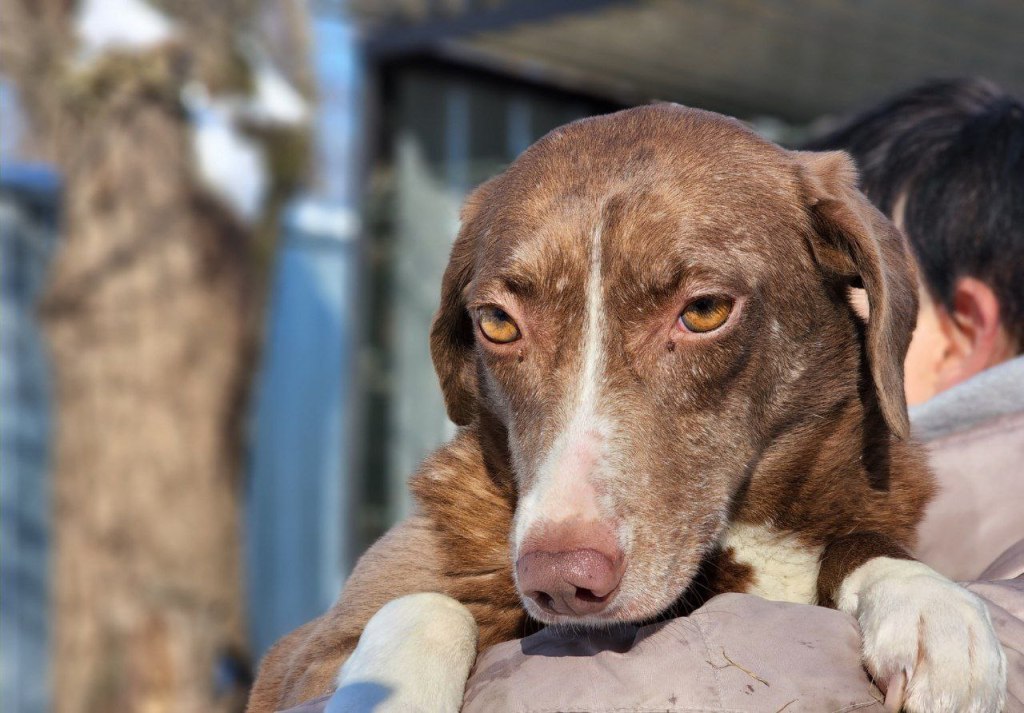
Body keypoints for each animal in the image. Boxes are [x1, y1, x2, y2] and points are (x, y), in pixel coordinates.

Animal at [248, 104, 1007, 713]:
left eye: (704, 311)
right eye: (497, 323)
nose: (559, 580)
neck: (746, 539)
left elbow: (863, 543)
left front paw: (929, 603)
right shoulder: (299, 657)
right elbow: (426, 604)